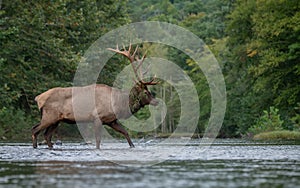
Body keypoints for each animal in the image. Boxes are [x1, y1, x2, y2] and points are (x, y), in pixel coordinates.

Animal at [31, 43, 159, 148]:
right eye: (146, 92)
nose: (156, 101)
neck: (118, 103)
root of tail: (38, 98)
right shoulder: (97, 117)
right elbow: (98, 141)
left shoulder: (111, 121)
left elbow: (125, 133)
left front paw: (132, 146)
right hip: (49, 116)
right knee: (35, 130)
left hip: (56, 120)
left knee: (47, 135)